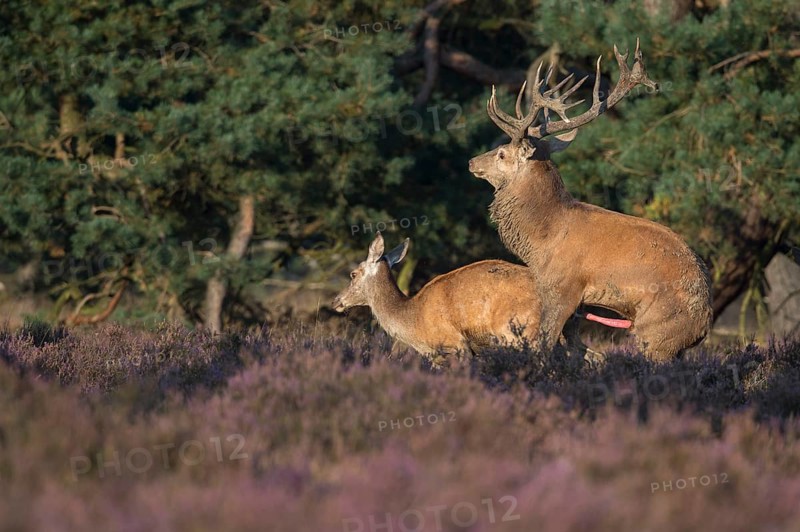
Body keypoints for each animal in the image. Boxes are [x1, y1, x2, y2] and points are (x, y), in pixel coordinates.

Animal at [468, 40, 713, 361]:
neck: (541, 241)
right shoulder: (578, 308)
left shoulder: (562, 290)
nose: (472, 162)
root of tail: (705, 321)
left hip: (658, 331)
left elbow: (544, 346)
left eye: (501, 154)